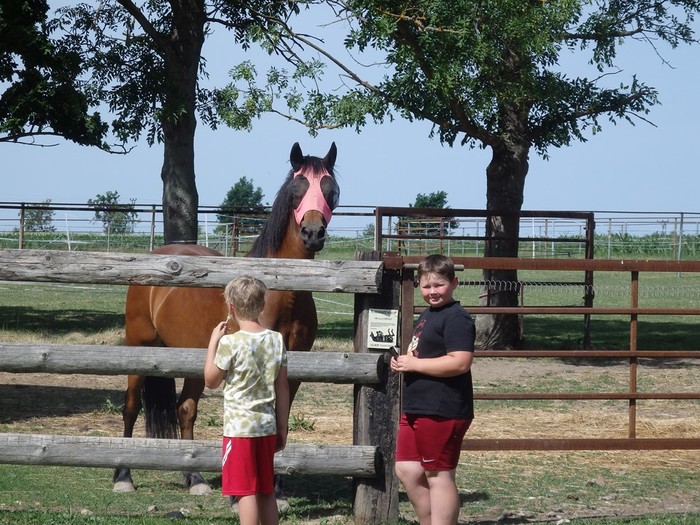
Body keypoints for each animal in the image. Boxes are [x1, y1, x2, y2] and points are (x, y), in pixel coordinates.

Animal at [113, 142, 339, 496]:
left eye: (330, 189)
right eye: (296, 189)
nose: (313, 232)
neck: (281, 293)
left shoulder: (293, 370)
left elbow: (281, 419)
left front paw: (275, 489)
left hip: (193, 358)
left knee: (185, 409)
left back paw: (194, 479)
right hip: (139, 346)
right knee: (132, 406)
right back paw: (123, 475)